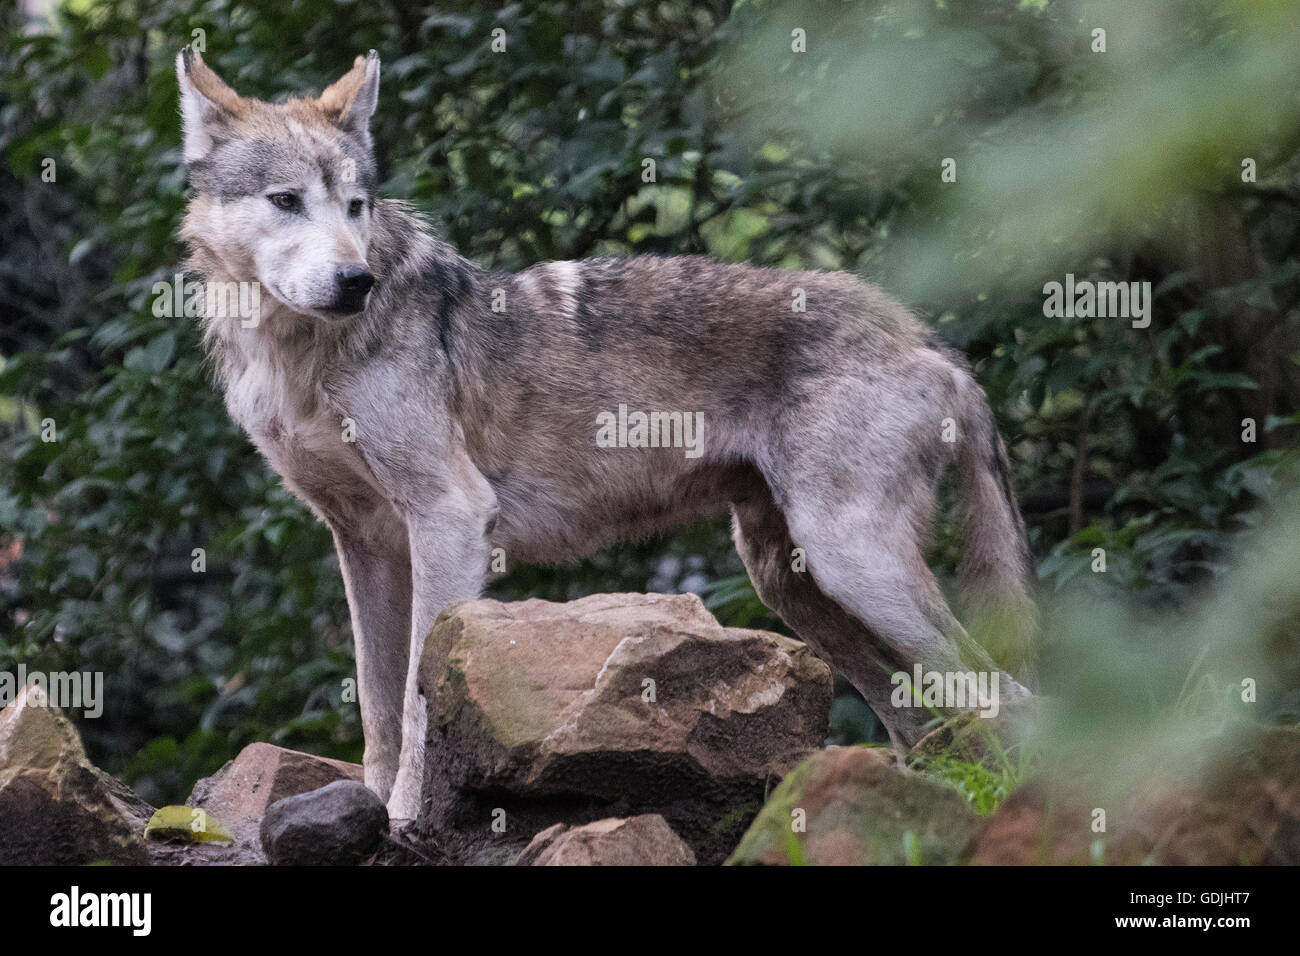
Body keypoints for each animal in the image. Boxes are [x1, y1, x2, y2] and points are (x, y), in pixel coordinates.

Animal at [175, 46, 1034, 822]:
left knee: (1010, 695)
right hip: (793, 584)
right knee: (925, 721)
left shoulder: (450, 519)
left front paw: (408, 819)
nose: (358, 281)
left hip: (852, 565)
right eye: (287, 200)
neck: (294, 357)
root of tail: (928, 342)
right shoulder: (363, 542)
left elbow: (416, 707)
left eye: (355, 206)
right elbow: (378, 713)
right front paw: (368, 813)